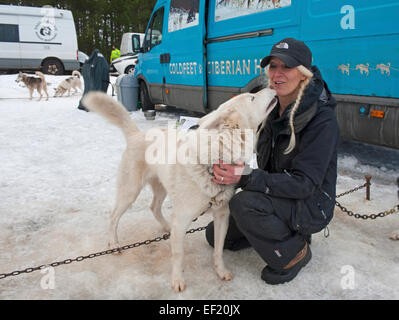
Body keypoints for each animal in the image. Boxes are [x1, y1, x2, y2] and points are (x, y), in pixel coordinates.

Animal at [83, 88, 278, 292]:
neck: (213, 161)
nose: (272, 86)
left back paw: (167, 227)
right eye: (252, 97)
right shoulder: (183, 217)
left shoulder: (221, 216)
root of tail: (136, 134)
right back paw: (114, 243)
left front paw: (221, 271)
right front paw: (177, 280)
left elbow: (218, 250)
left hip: (161, 188)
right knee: (114, 217)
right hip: (130, 192)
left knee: (154, 208)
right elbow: (178, 254)